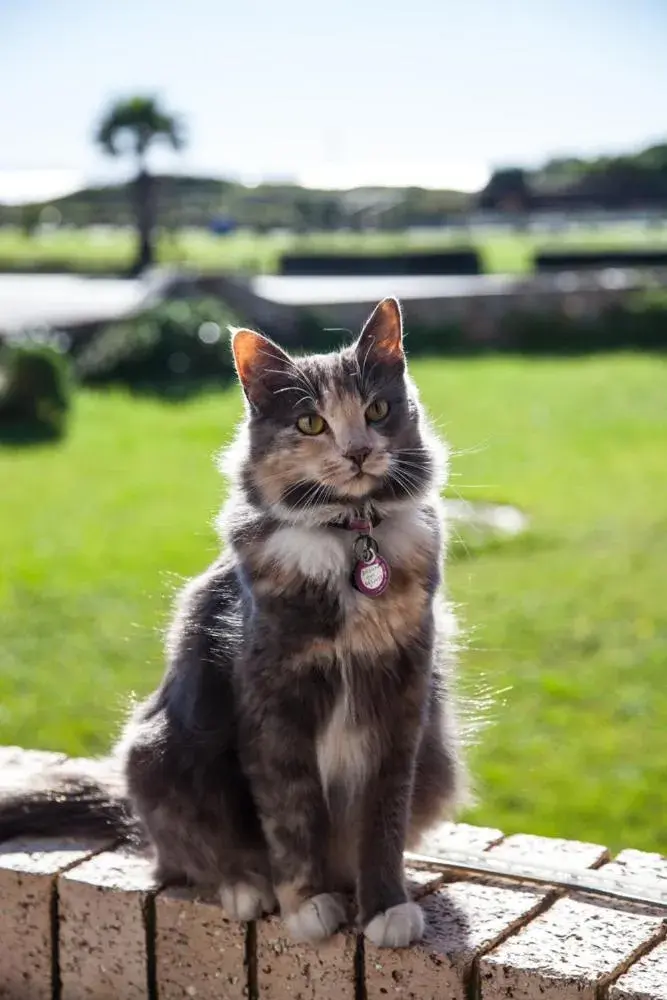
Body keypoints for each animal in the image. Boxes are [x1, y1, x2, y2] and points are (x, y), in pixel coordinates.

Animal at [0, 294, 468, 944]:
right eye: (310, 423)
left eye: (377, 409)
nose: (357, 451)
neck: (349, 540)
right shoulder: (272, 703)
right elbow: (291, 816)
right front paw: (307, 904)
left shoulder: (402, 698)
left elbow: (384, 818)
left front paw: (386, 907)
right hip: (163, 755)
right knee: (183, 855)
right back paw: (247, 889)